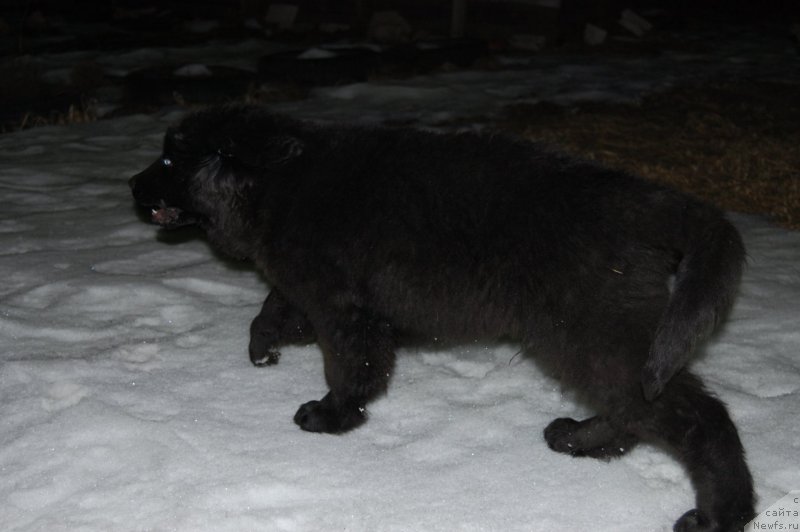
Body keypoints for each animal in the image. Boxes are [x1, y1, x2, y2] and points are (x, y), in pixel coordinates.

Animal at [128, 105, 752, 532]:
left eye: (169, 161)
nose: (131, 184)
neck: (280, 182)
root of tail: (645, 199)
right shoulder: (310, 287)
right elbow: (272, 311)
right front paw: (264, 351)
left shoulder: (340, 304)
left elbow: (348, 366)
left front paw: (332, 417)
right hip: (604, 329)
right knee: (632, 408)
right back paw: (580, 440)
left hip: (590, 326)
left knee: (694, 416)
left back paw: (720, 515)